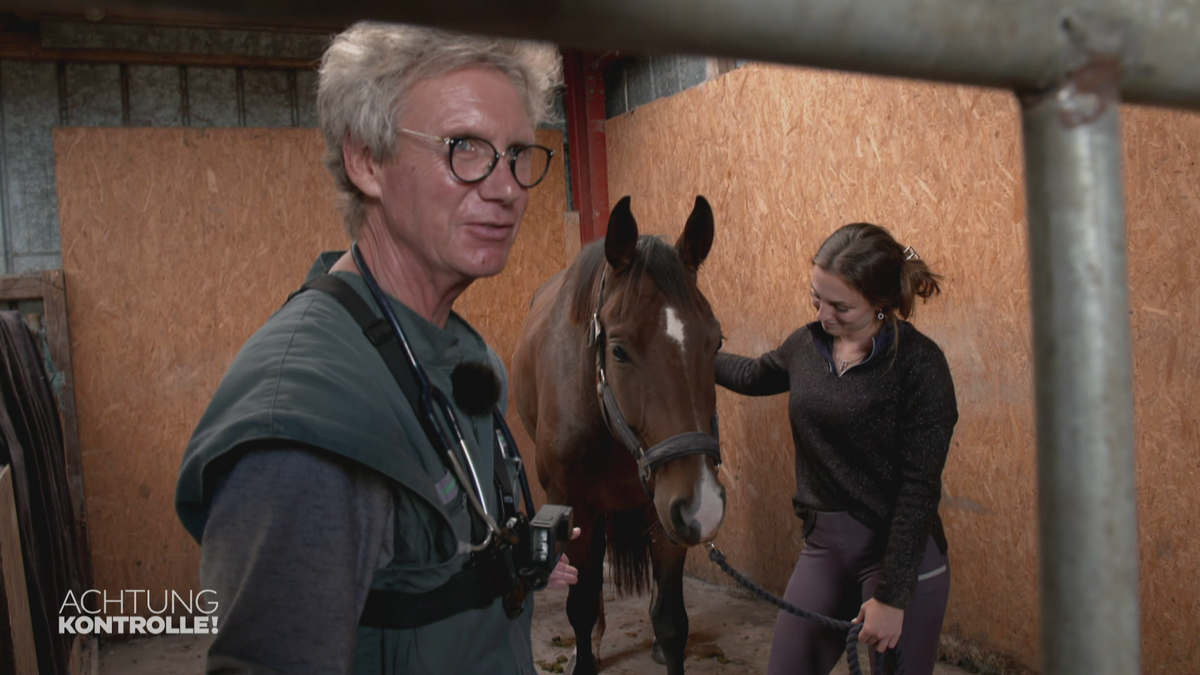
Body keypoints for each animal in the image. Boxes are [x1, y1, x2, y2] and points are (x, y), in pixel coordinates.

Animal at [513, 194, 724, 672]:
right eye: (619, 351)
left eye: (716, 342)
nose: (704, 506)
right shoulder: (572, 505)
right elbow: (580, 603)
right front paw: (584, 654)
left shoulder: (665, 511)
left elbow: (671, 619)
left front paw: (664, 642)